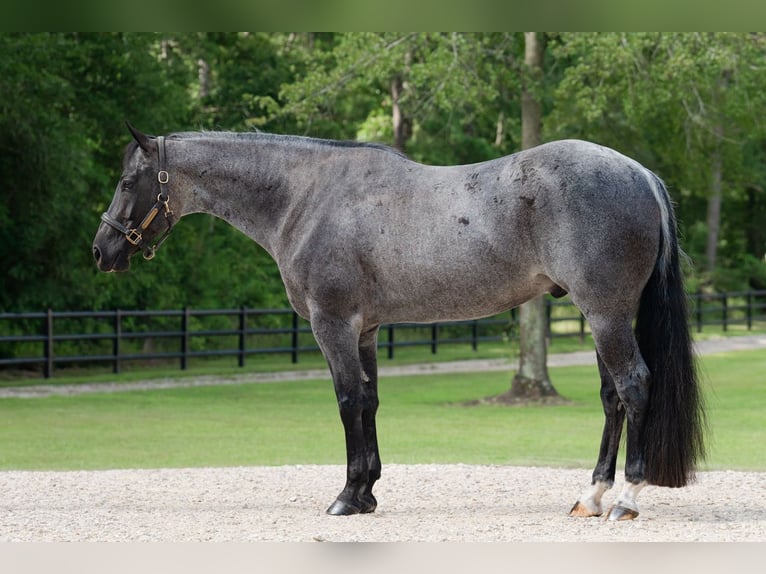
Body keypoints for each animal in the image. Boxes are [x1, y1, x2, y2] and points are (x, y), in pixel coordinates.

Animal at [92, 123, 705, 521]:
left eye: (126, 182)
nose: (101, 250)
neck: (305, 198)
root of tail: (639, 174)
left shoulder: (333, 324)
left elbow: (346, 402)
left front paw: (345, 497)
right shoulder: (365, 329)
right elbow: (368, 401)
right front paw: (367, 492)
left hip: (605, 314)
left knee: (633, 387)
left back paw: (625, 500)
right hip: (602, 316)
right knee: (611, 397)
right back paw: (591, 496)